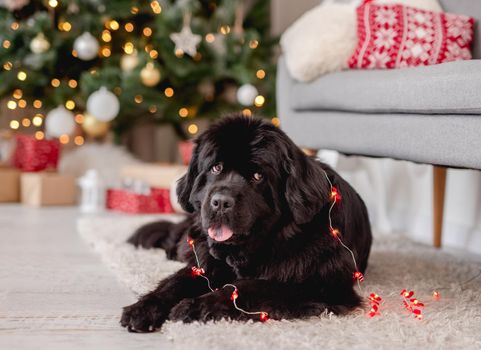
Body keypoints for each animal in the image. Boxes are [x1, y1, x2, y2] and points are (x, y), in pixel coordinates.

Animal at [121, 114, 372, 330]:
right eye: (216, 167)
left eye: (258, 176)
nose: (221, 202)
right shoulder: (207, 264)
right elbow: (174, 283)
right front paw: (144, 308)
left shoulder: (322, 285)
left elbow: (248, 287)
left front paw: (195, 306)